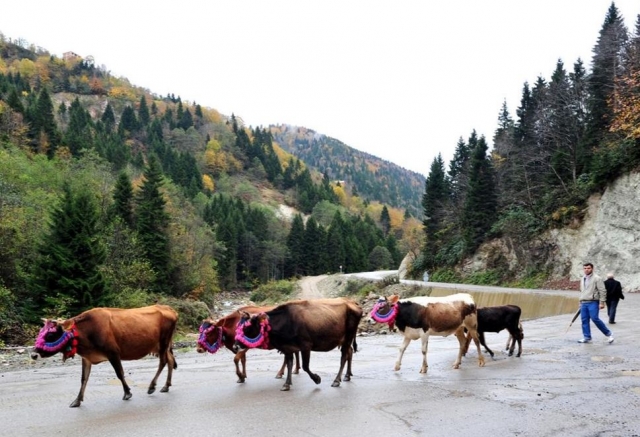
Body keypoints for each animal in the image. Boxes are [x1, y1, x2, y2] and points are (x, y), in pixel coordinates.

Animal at [31, 304, 178, 408]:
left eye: (50, 334)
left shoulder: (113, 353)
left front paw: (127, 393)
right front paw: (77, 400)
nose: (33, 354)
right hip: (161, 345)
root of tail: (169, 308)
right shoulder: (86, 358)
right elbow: (84, 379)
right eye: (40, 332)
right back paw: (166, 386)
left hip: (163, 342)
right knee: (170, 360)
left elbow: (119, 373)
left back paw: (152, 386)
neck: (86, 332)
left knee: (163, 361)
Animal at [232, 298, 362, 390]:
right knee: (349, 352)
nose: (235, 346)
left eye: (247, 328)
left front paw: (316, 379)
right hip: (345, 340)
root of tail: (352, 302)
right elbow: (290, 364)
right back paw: (347, 376)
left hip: (348, 337)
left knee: (344, 357)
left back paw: (336, 380)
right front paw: (287, 384)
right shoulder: (288, 348)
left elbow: (305, 366)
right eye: (238, 326)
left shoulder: (306, 346)